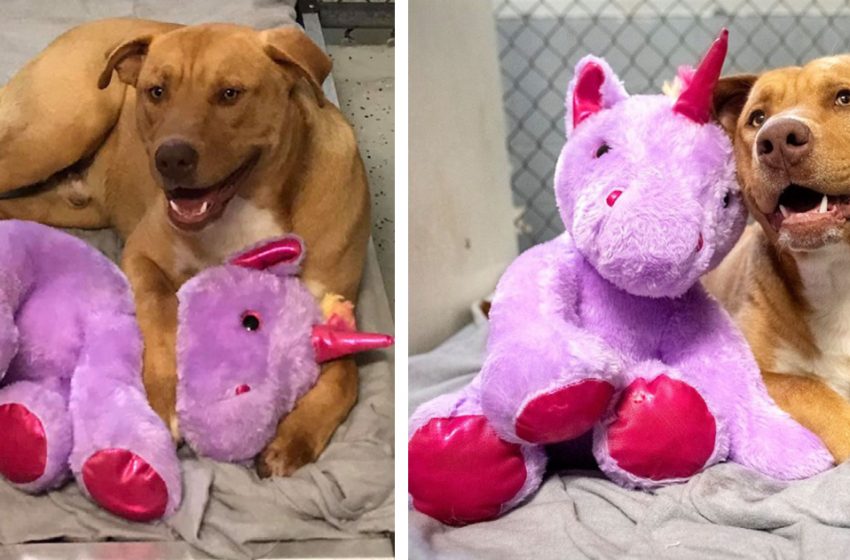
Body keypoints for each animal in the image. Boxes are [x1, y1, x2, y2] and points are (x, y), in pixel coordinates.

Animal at [704, 54, 850, 462]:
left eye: (844, 97)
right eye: (757, 118)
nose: (778, 139)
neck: (836, 279)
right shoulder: (751, 373)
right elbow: (808, 388)